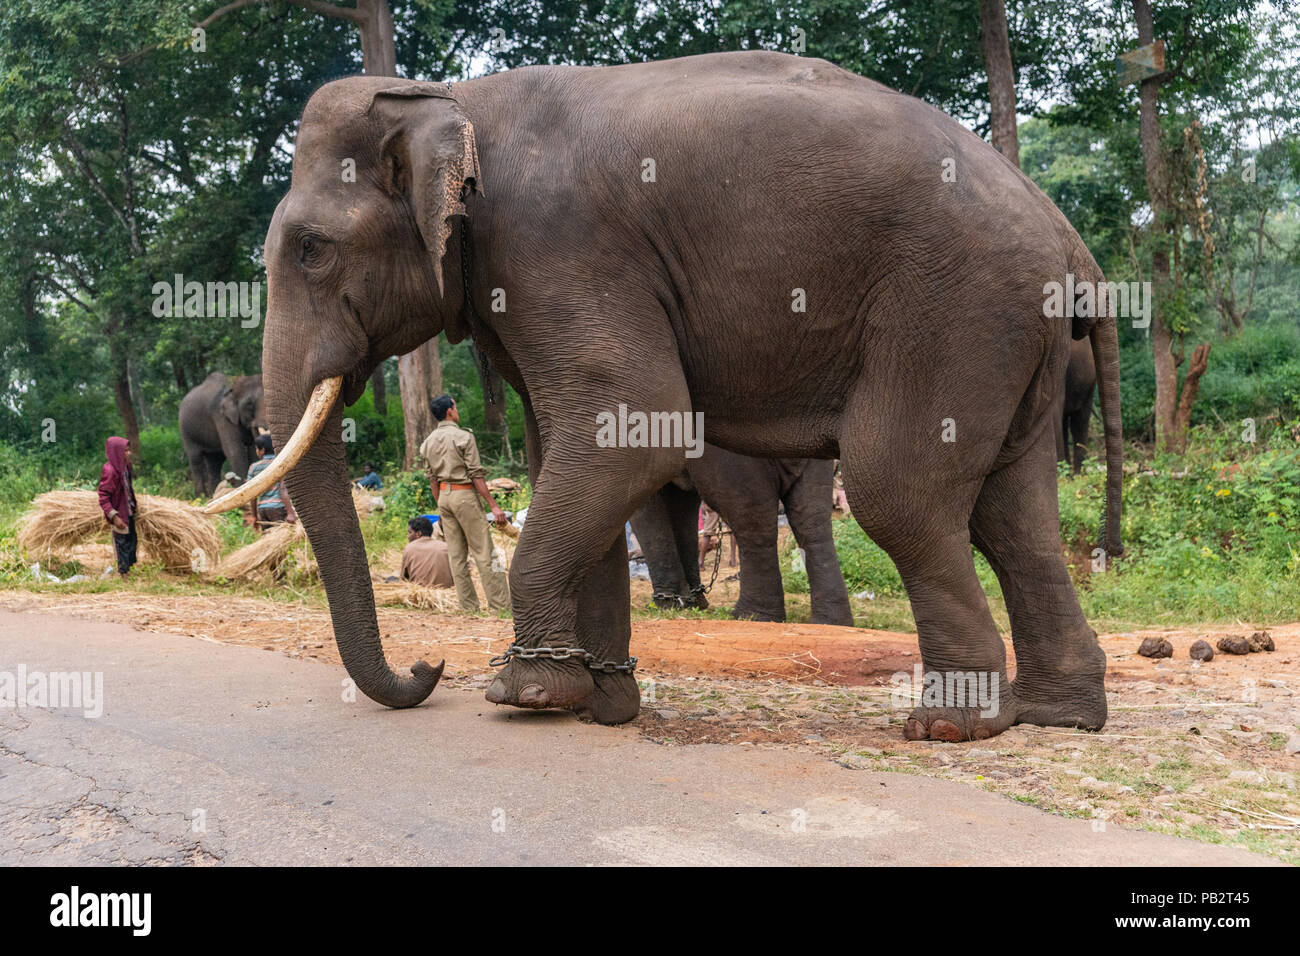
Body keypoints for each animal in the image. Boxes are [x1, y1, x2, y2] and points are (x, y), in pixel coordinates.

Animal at [629, 447, 852, 629]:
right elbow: (681, 501)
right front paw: (691, 604)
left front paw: (668, 605)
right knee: (812, 519)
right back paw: (830, 623)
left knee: (751, 517)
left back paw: (750, 617)